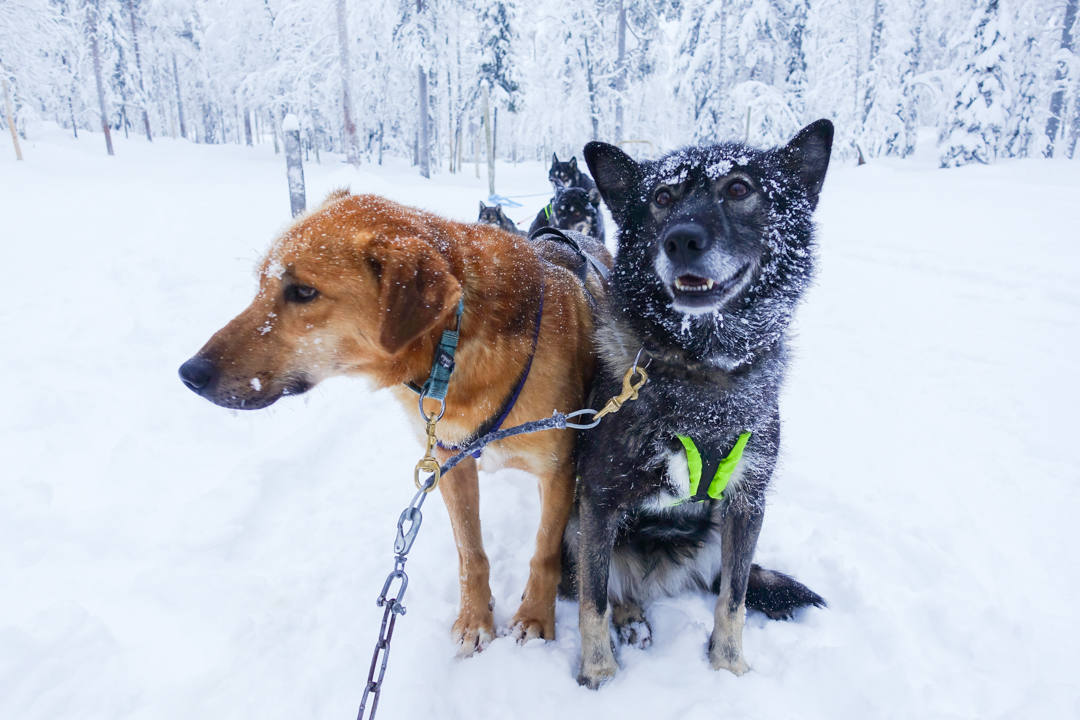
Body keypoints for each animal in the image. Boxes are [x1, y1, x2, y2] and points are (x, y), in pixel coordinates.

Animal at [181, 189, 613, 651]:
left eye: (303, 291)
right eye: (261, 284)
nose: (189, 373)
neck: (453, 342)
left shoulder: (558, 470)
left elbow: (544, 551)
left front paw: (534, 616)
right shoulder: (449, 464)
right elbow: (471, 553)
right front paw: (475, 619)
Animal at [570, 120, 838, 690]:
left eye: (737, 188)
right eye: (662, 198)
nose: (681, 239)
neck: (704, 371)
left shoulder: (747, 503)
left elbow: (732, 600)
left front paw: (728, 665)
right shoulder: (598, 503)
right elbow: (591, 602)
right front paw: (599, 674)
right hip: (574, 529)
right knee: (613, 586)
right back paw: (632, 619)